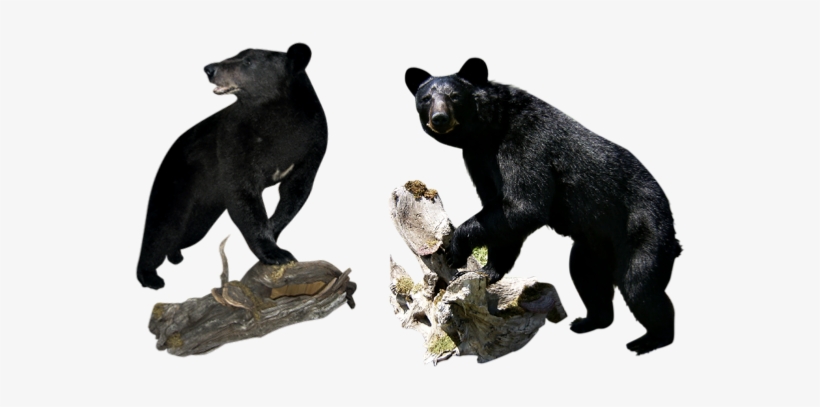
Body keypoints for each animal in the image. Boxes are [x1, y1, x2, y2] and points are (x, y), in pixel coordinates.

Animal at [137, 43, 327, 290]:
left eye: (248, 61)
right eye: (238, 55)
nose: (209, 68)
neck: (274, 112)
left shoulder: (312, 144)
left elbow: (295, 192)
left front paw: (273, 233)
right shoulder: (235, 141)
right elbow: (243, 195)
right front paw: (276, 253)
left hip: (204, 208)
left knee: (187, 231)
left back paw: (175, 254)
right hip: (176, 179)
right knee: (162, 225)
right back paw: (150, 276)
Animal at [405, 58, 682, 355]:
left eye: (455, 96)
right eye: (426, 98)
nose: (439, 118)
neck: (488, 132)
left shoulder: (526, 142)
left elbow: (525, 205)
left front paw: (456, 249)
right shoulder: (478, 159)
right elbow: (501, 211)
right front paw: (489, 271)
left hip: (646, 227)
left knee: (640, 284)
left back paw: (650, 339)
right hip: (592, 245)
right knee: (586, 275)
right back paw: (588, 321)